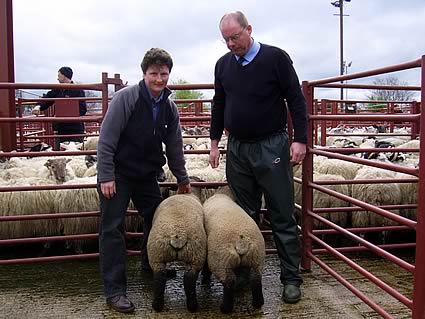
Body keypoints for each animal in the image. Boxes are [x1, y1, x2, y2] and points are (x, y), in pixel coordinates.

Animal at [202, 188, 264, 316]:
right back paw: (258, 303)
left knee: (229, 282)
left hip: (221, 261)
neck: (223, 194)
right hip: (257, 258)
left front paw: (205, 277)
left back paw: (225, 308)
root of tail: (241, 241)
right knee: (256, 279)